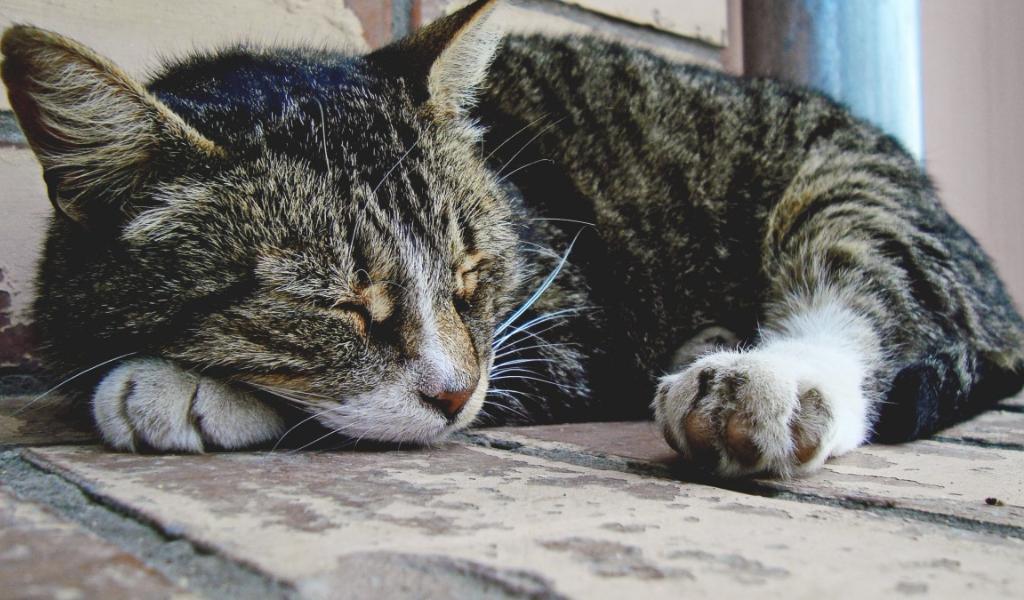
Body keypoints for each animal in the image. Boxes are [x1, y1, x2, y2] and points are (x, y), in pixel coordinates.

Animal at [2, 0, 1024, 477]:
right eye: (333, 304)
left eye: (472, 272)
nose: (456, 393)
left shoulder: (565, 328)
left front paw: (181, 386)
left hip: (847, 188)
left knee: (870, 297)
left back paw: (760, 380)